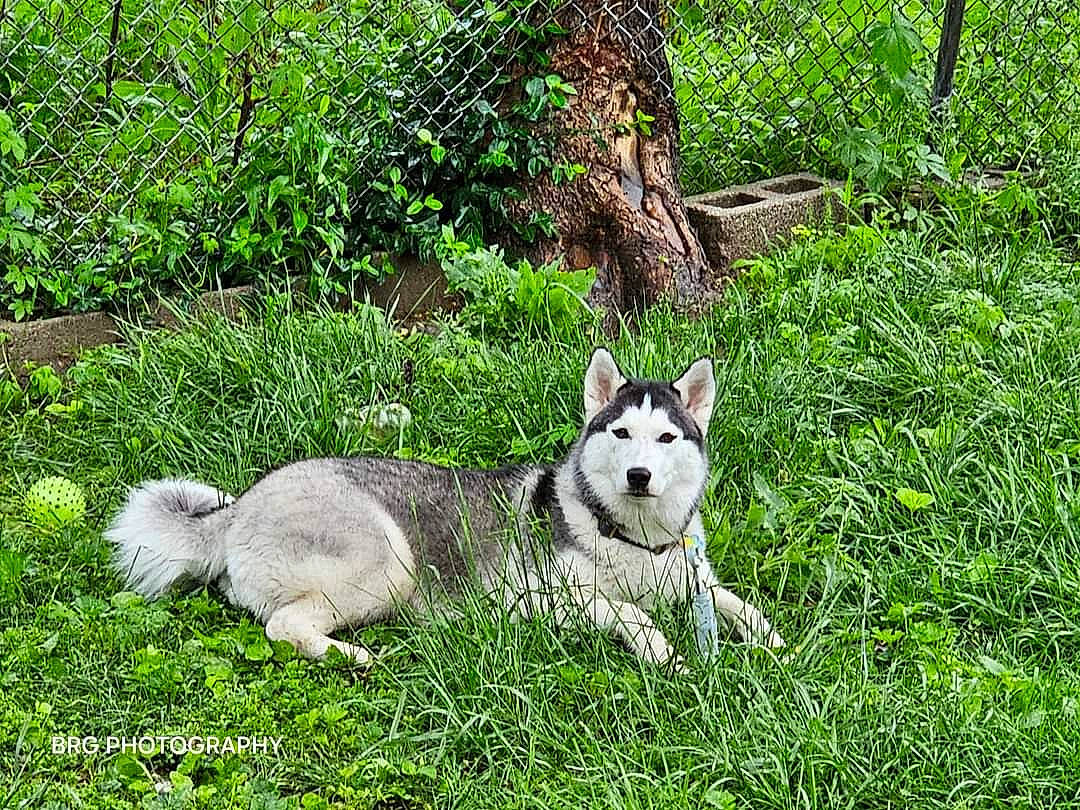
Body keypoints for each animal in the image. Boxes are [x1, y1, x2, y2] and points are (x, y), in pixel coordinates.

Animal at [106, 349, 784, 668]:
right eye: (621, 434)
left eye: (666, 438)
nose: (639, 475)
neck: (632, 538)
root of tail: (238, 507)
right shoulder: (545, 596)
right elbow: (629, 613)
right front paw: (667, 655)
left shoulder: (697, 580)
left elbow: (743, 608)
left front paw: (779, 650)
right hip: (387, 566)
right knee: (283, 626)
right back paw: (354, 656)